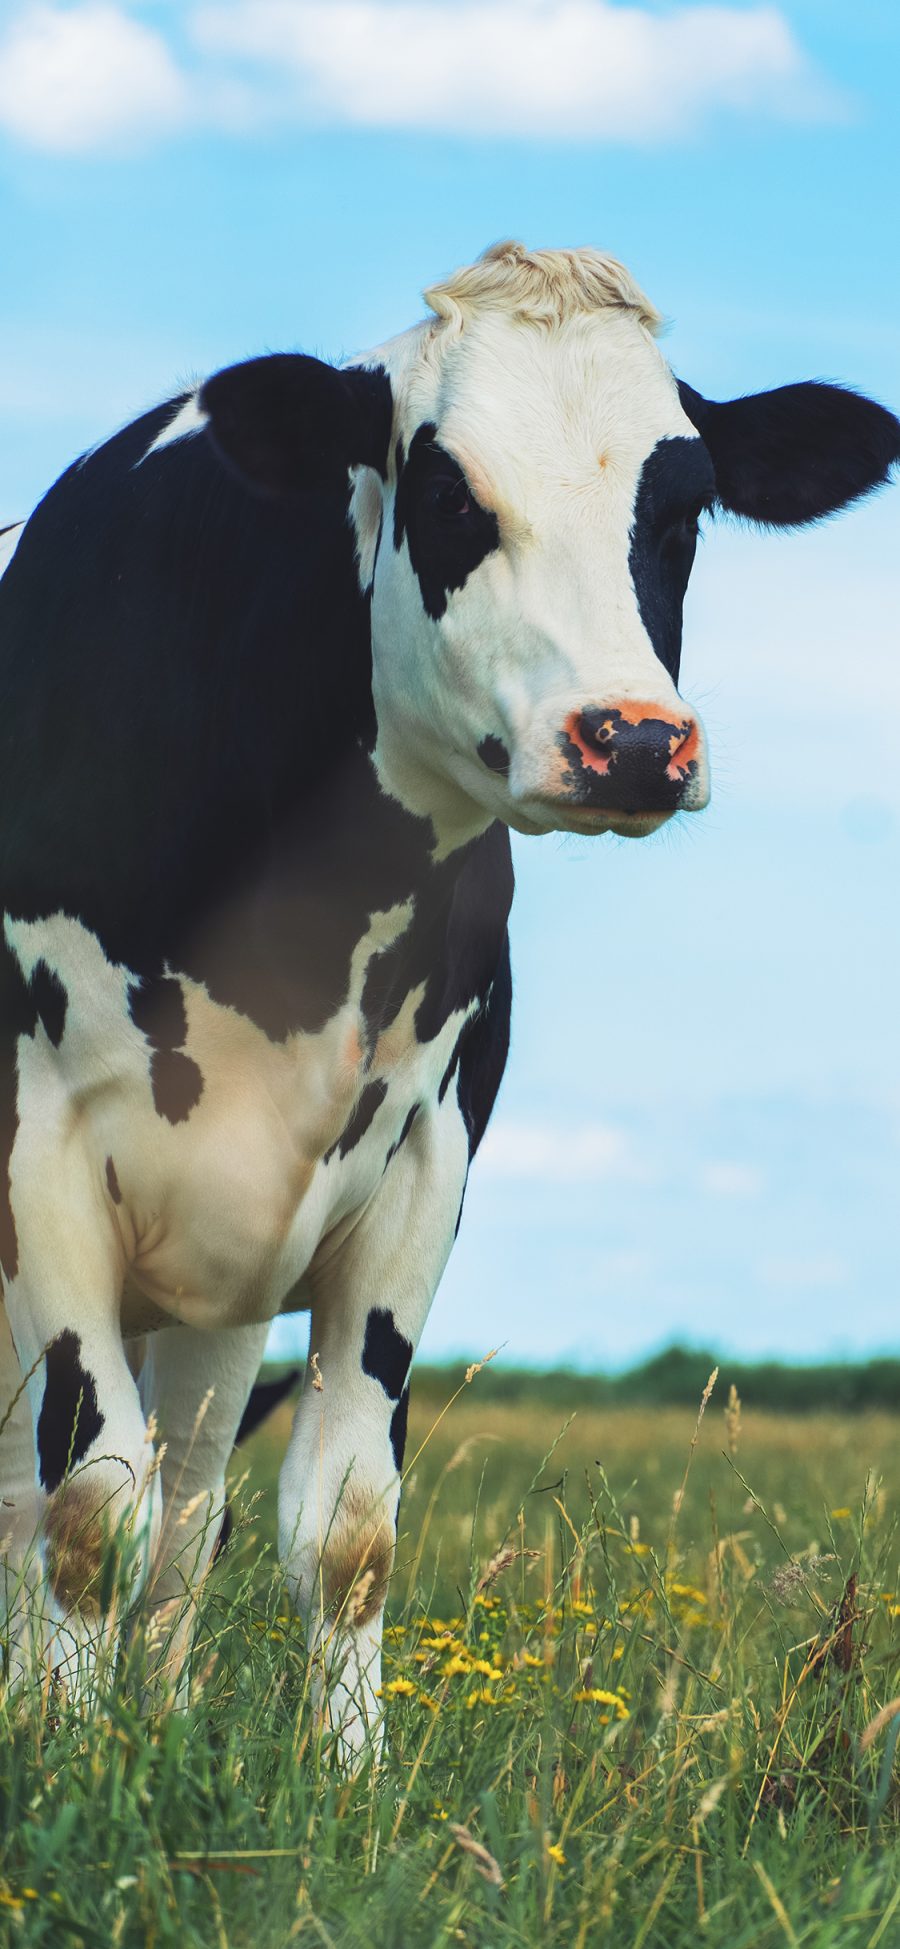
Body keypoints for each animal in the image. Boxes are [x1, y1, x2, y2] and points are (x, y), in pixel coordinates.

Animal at [1, 243, 900, 1754]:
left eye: (685, 506)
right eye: (446, 494)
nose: (635, 739)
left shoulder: (422, 1156)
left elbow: (339, 1523)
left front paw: (342, 1776)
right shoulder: (43, 1139)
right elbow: (82, 1502)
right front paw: (63, 1757)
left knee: (190, 1503)